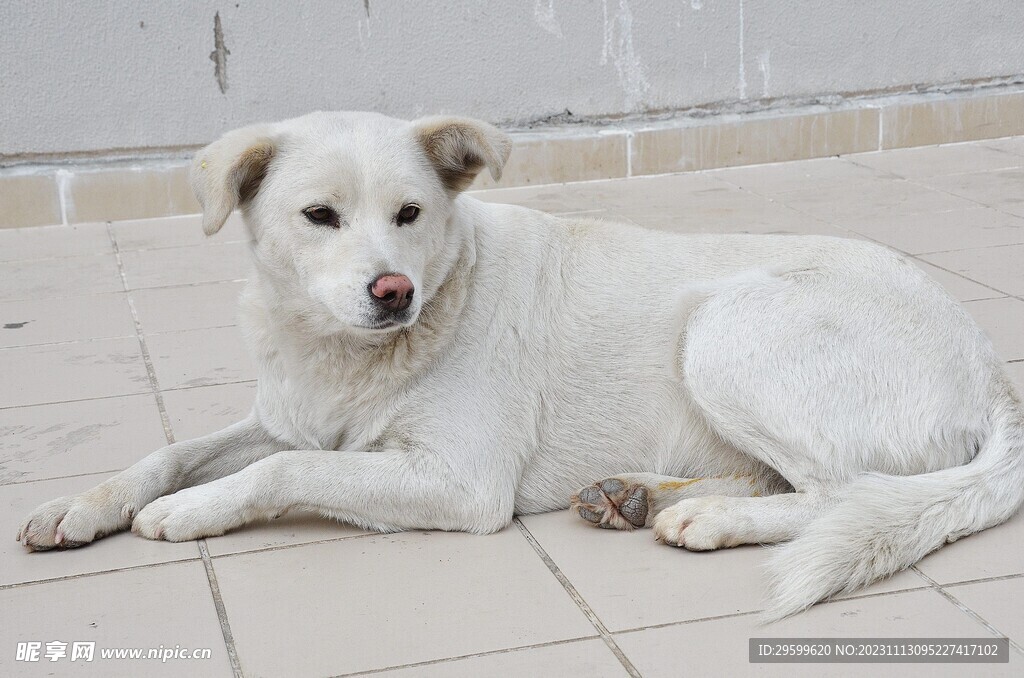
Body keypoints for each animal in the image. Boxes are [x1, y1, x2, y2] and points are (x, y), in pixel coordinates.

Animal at [18, 111, 1024, 622]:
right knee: (794, 480)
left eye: (411, 214)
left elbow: (282, 469)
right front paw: (84, 505)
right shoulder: (288, 414)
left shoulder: (459, 484)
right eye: (319, 217)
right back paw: (634, 495)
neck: (350, 355)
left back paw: (708, 518)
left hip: (727, 328)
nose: (392, 292)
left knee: (847, 491)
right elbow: (175, 449)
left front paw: (188, 511)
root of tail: (992, 373)